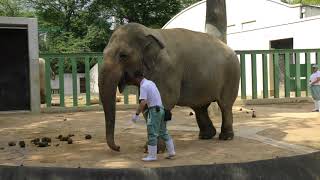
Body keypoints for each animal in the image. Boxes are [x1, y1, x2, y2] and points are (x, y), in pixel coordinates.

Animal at [99, 22, 240, 152]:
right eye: (103, 53)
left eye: (123, 55)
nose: (118, 147)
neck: (148, 31)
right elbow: (147, 105)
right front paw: (149, 148)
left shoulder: (167, 70)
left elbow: (164, 102)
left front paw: (155, 150)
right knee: (200, 107)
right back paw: (206, 136)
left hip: (231, 75)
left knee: (225, 105)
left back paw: (226, 137)